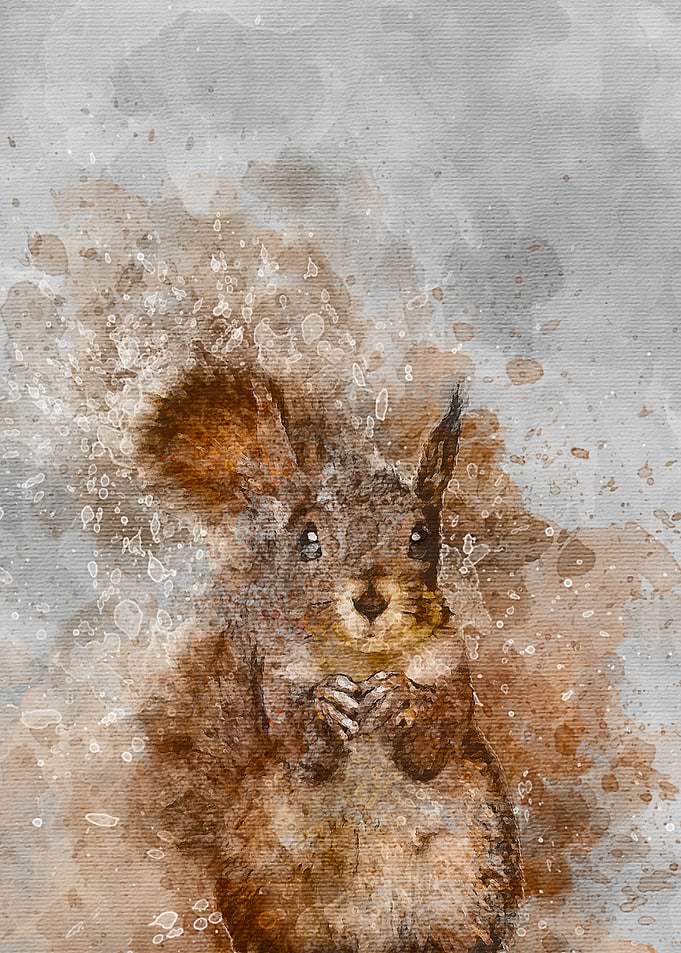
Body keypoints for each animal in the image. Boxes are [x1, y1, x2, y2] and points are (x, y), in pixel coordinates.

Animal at [134, 356, 523, 953]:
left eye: (422, 536)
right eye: (308, 539)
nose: (370, 600)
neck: (359, 657)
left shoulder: (453, 669)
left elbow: (435, 746)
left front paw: (400, 698)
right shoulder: (276, 676)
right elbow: (301, 749)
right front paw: (328, 704)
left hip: (466, 889)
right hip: (273, 898)